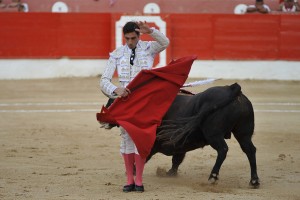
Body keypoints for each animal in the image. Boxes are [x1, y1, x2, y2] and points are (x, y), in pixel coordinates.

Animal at [104, 82, 258, 188]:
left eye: (114, 102)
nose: (103, 117)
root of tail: (232, 89)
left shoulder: (153, 142)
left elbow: (144, 156)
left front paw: (133, 171)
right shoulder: (180, 144)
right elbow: (176, 159)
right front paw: (170, 173)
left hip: (213, 134)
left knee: (223, 149)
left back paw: (213, 176)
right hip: (243, 133)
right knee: (250, 150)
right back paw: (254, 181)